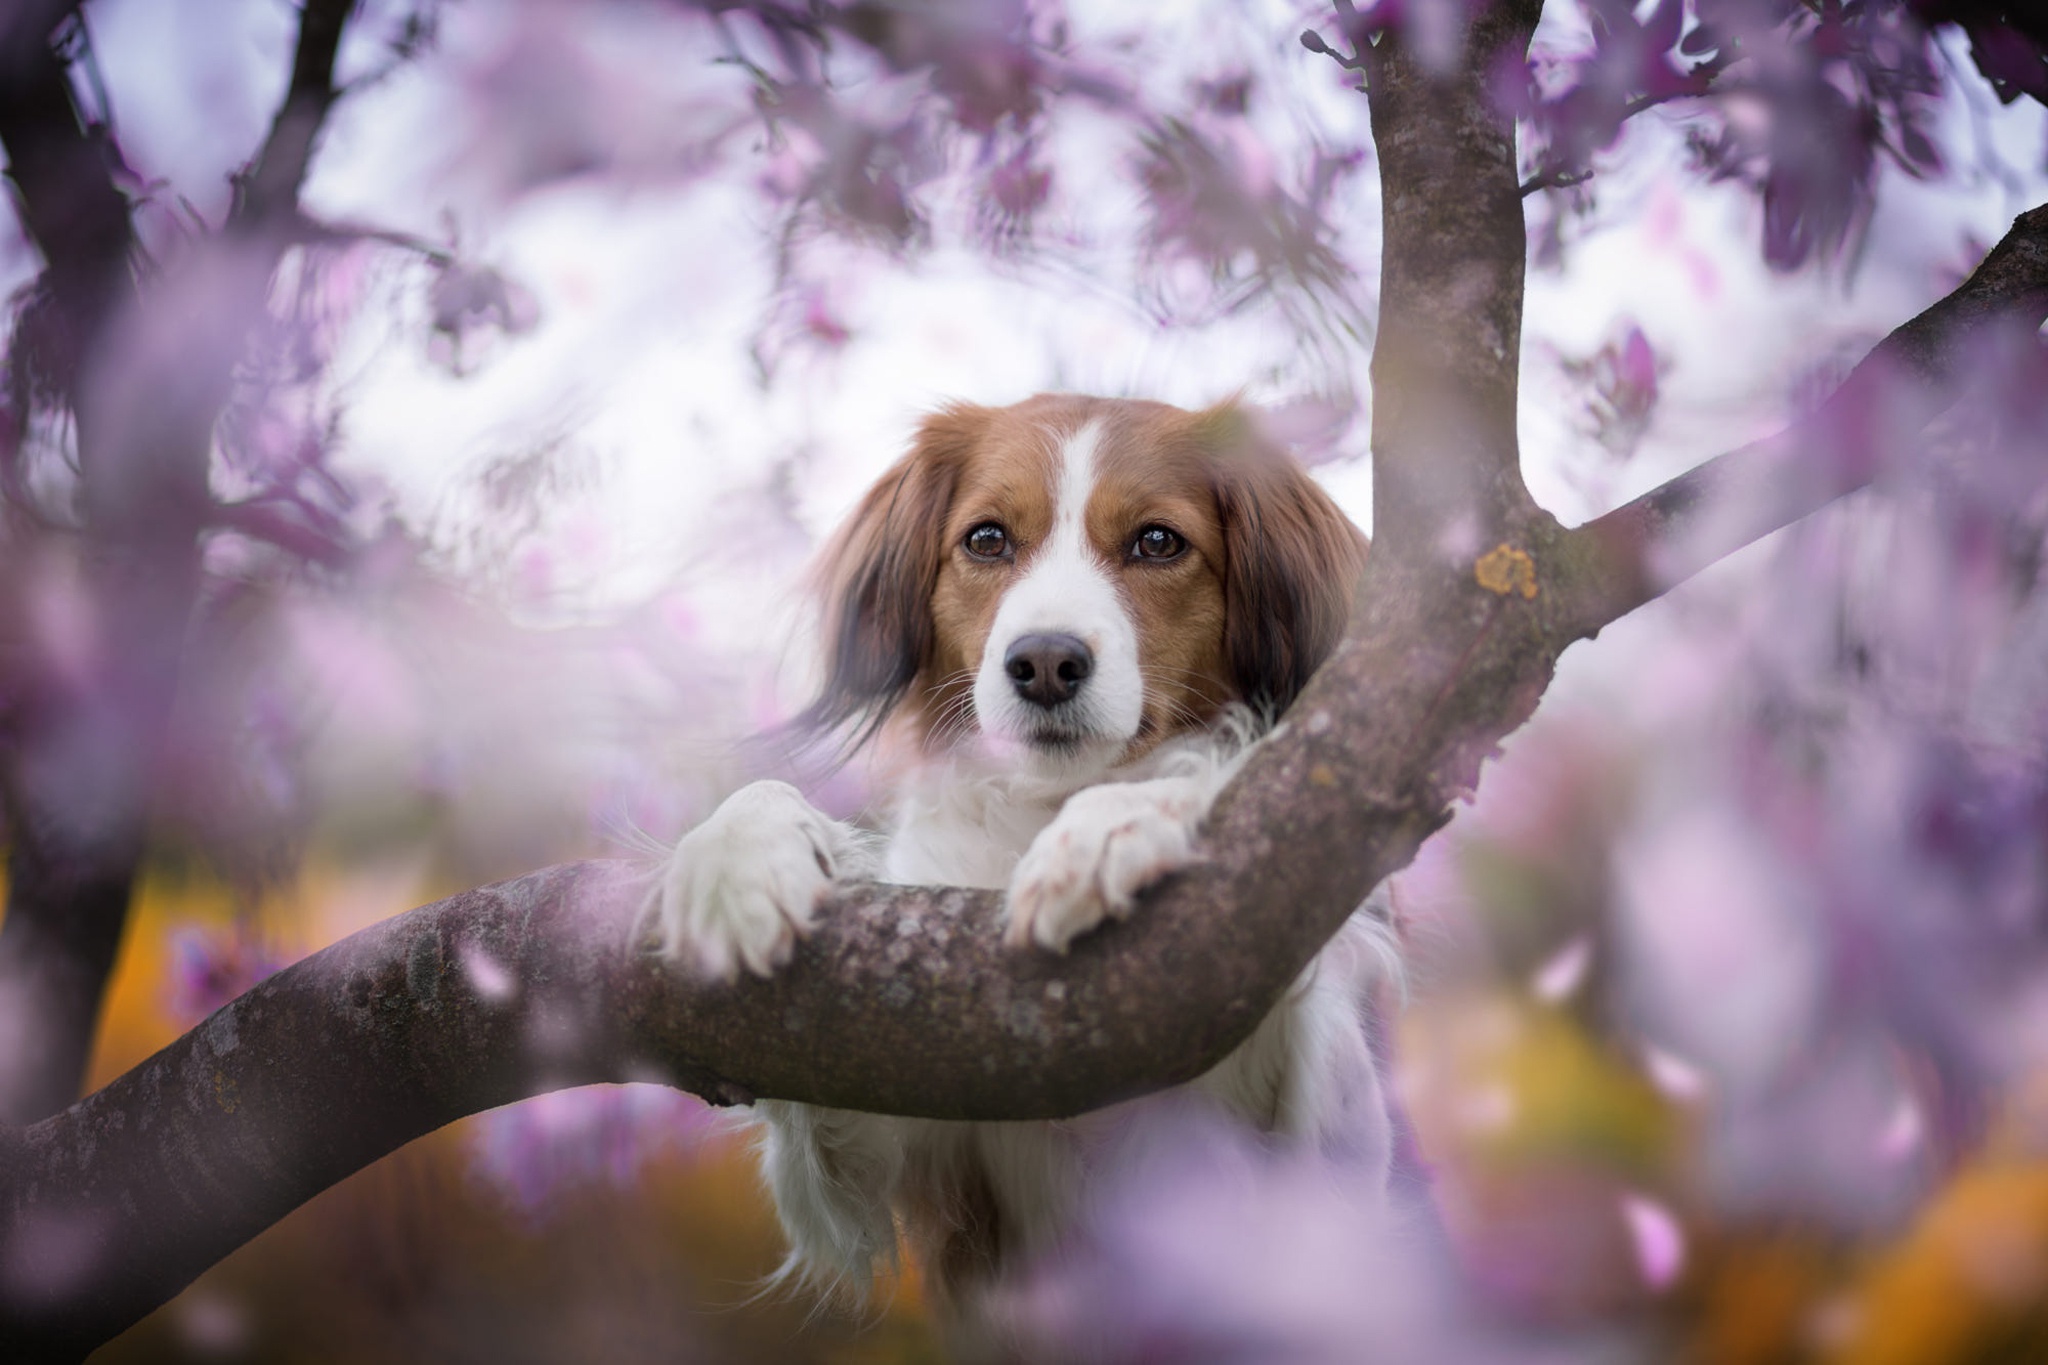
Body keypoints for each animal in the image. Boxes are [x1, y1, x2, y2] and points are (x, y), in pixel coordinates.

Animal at [647, 388, 1400, 1350]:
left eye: (1159, 541)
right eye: (987, 538)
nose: (1044, 661)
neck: (1040, 807)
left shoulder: (1315, 1153)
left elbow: (1216, 773)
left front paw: (1115, 824)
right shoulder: (881, 1129)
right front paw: (737, 859)